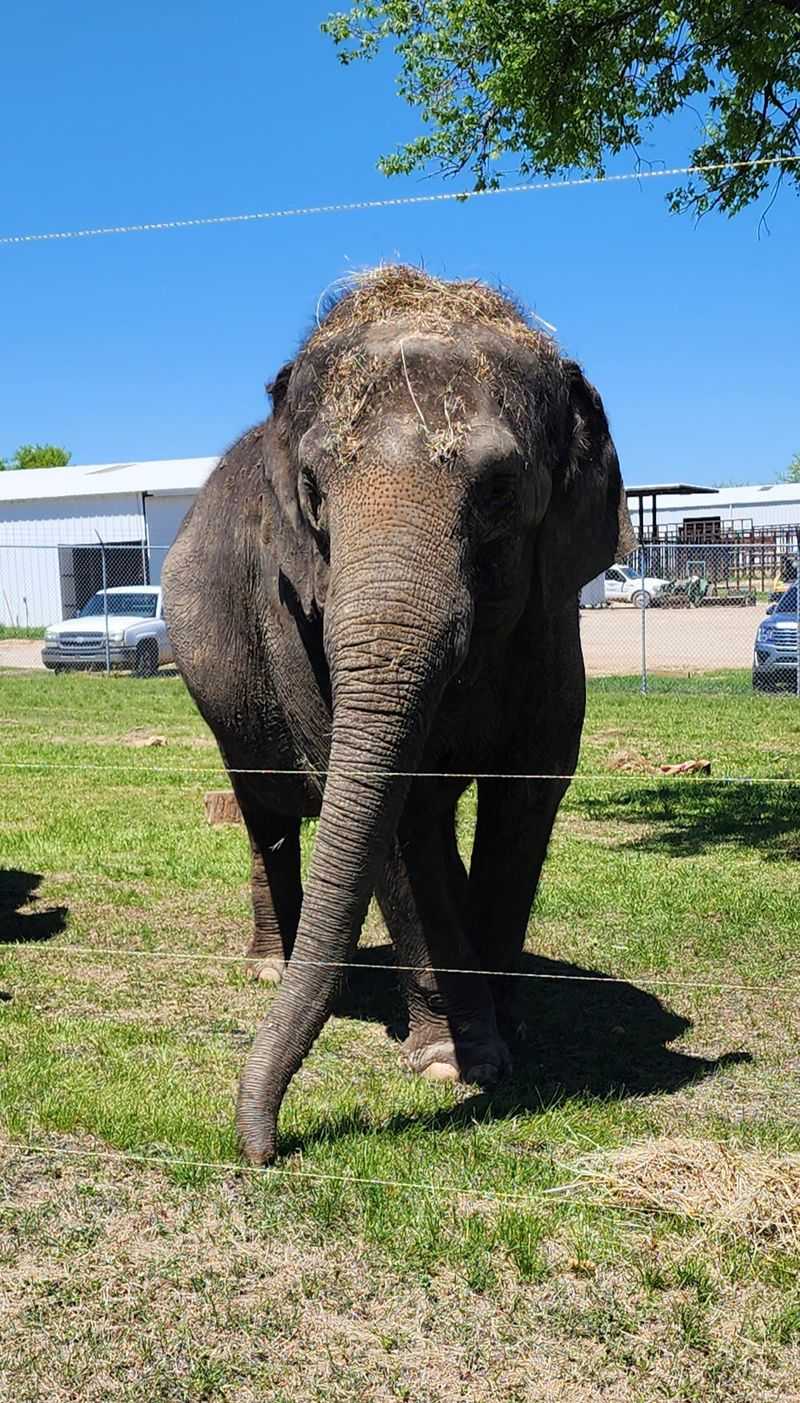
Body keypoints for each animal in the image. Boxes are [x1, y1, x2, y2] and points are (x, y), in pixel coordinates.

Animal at [162, 265, 632, 1165]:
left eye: (498, 490)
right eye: (314, 491)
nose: (261, 1148)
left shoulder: (553, 626)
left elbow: (527, 796)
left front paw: (505, 1038)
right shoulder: (293, 618)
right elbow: (399, 825)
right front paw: (454, 1061)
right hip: (224, 696)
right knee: (265, 811)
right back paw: (271, 969)